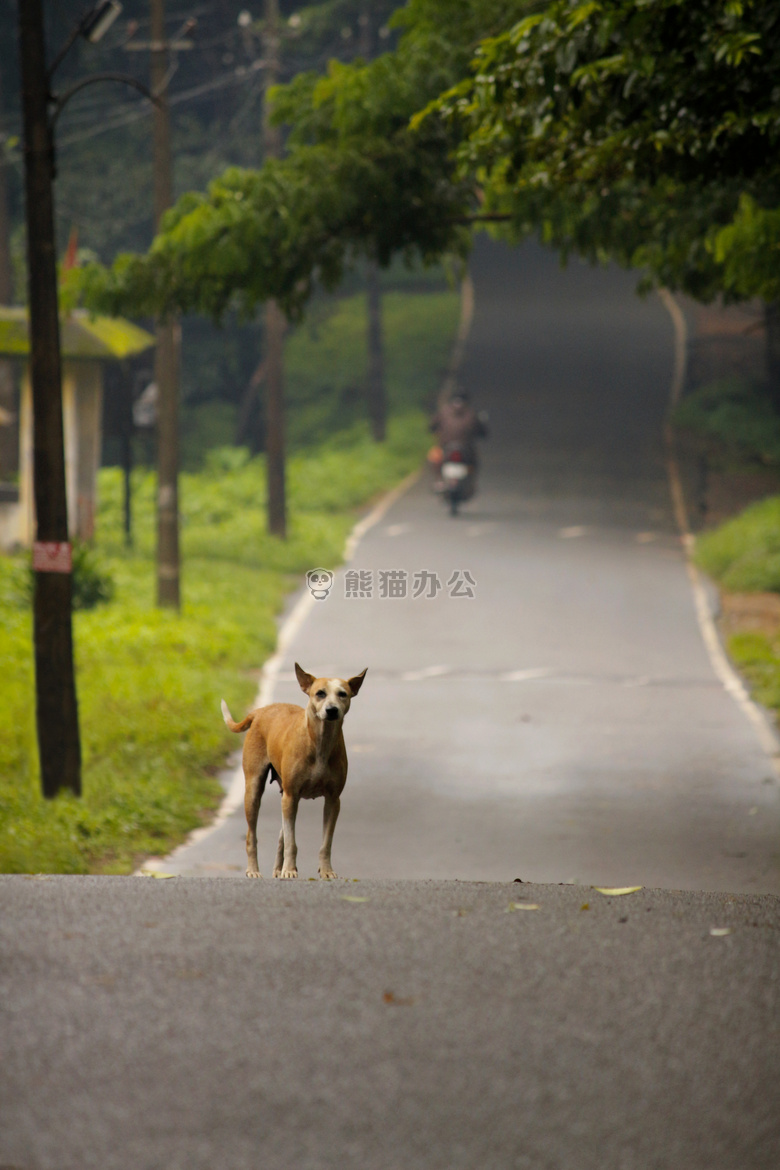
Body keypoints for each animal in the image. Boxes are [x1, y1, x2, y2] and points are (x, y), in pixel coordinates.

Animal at [219, 669, 367, 879]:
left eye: (342, 694)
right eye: (320, 693)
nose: (332, 710)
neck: (319, 742)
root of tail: (260, 711)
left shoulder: (333, 800)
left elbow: (326, 842)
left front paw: (326, 870)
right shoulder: (291, 796)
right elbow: (291, 842)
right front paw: (289, 870)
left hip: (286, 795)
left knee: (281, 835)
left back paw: (277, 869)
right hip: (255, 789)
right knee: (252, 835)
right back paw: (254, 870)